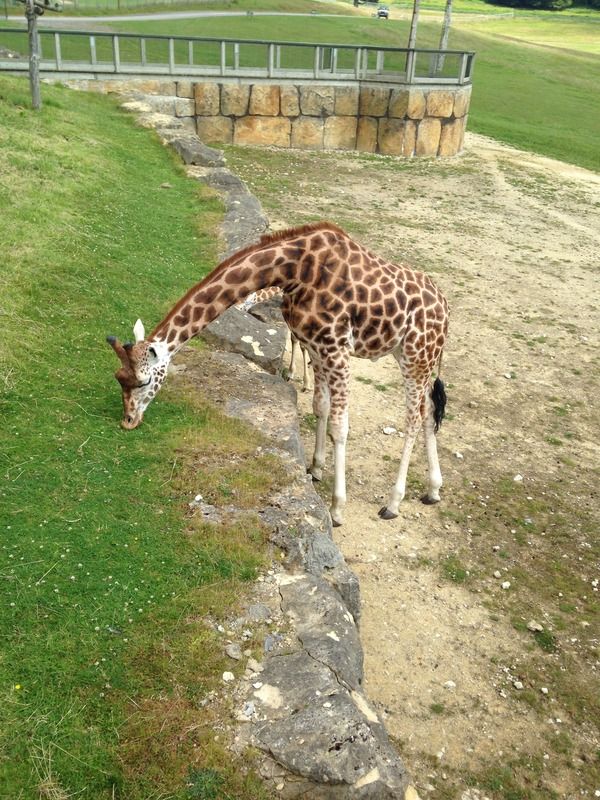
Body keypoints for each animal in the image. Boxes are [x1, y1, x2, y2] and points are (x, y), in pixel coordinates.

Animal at [107, 222, 448, 527]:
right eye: (119, 378)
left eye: (144, 381)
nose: (128, 421)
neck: (294, 270)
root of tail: (446, 309)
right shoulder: (316, 346)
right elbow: (320, 407)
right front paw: (315, 469)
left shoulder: (337, 348)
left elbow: (339, 426)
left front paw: (337, 509)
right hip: (413, 355)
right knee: (430, 409)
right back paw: (433, 490)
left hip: (417, 354)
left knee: (413, 417)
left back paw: (393, 503)